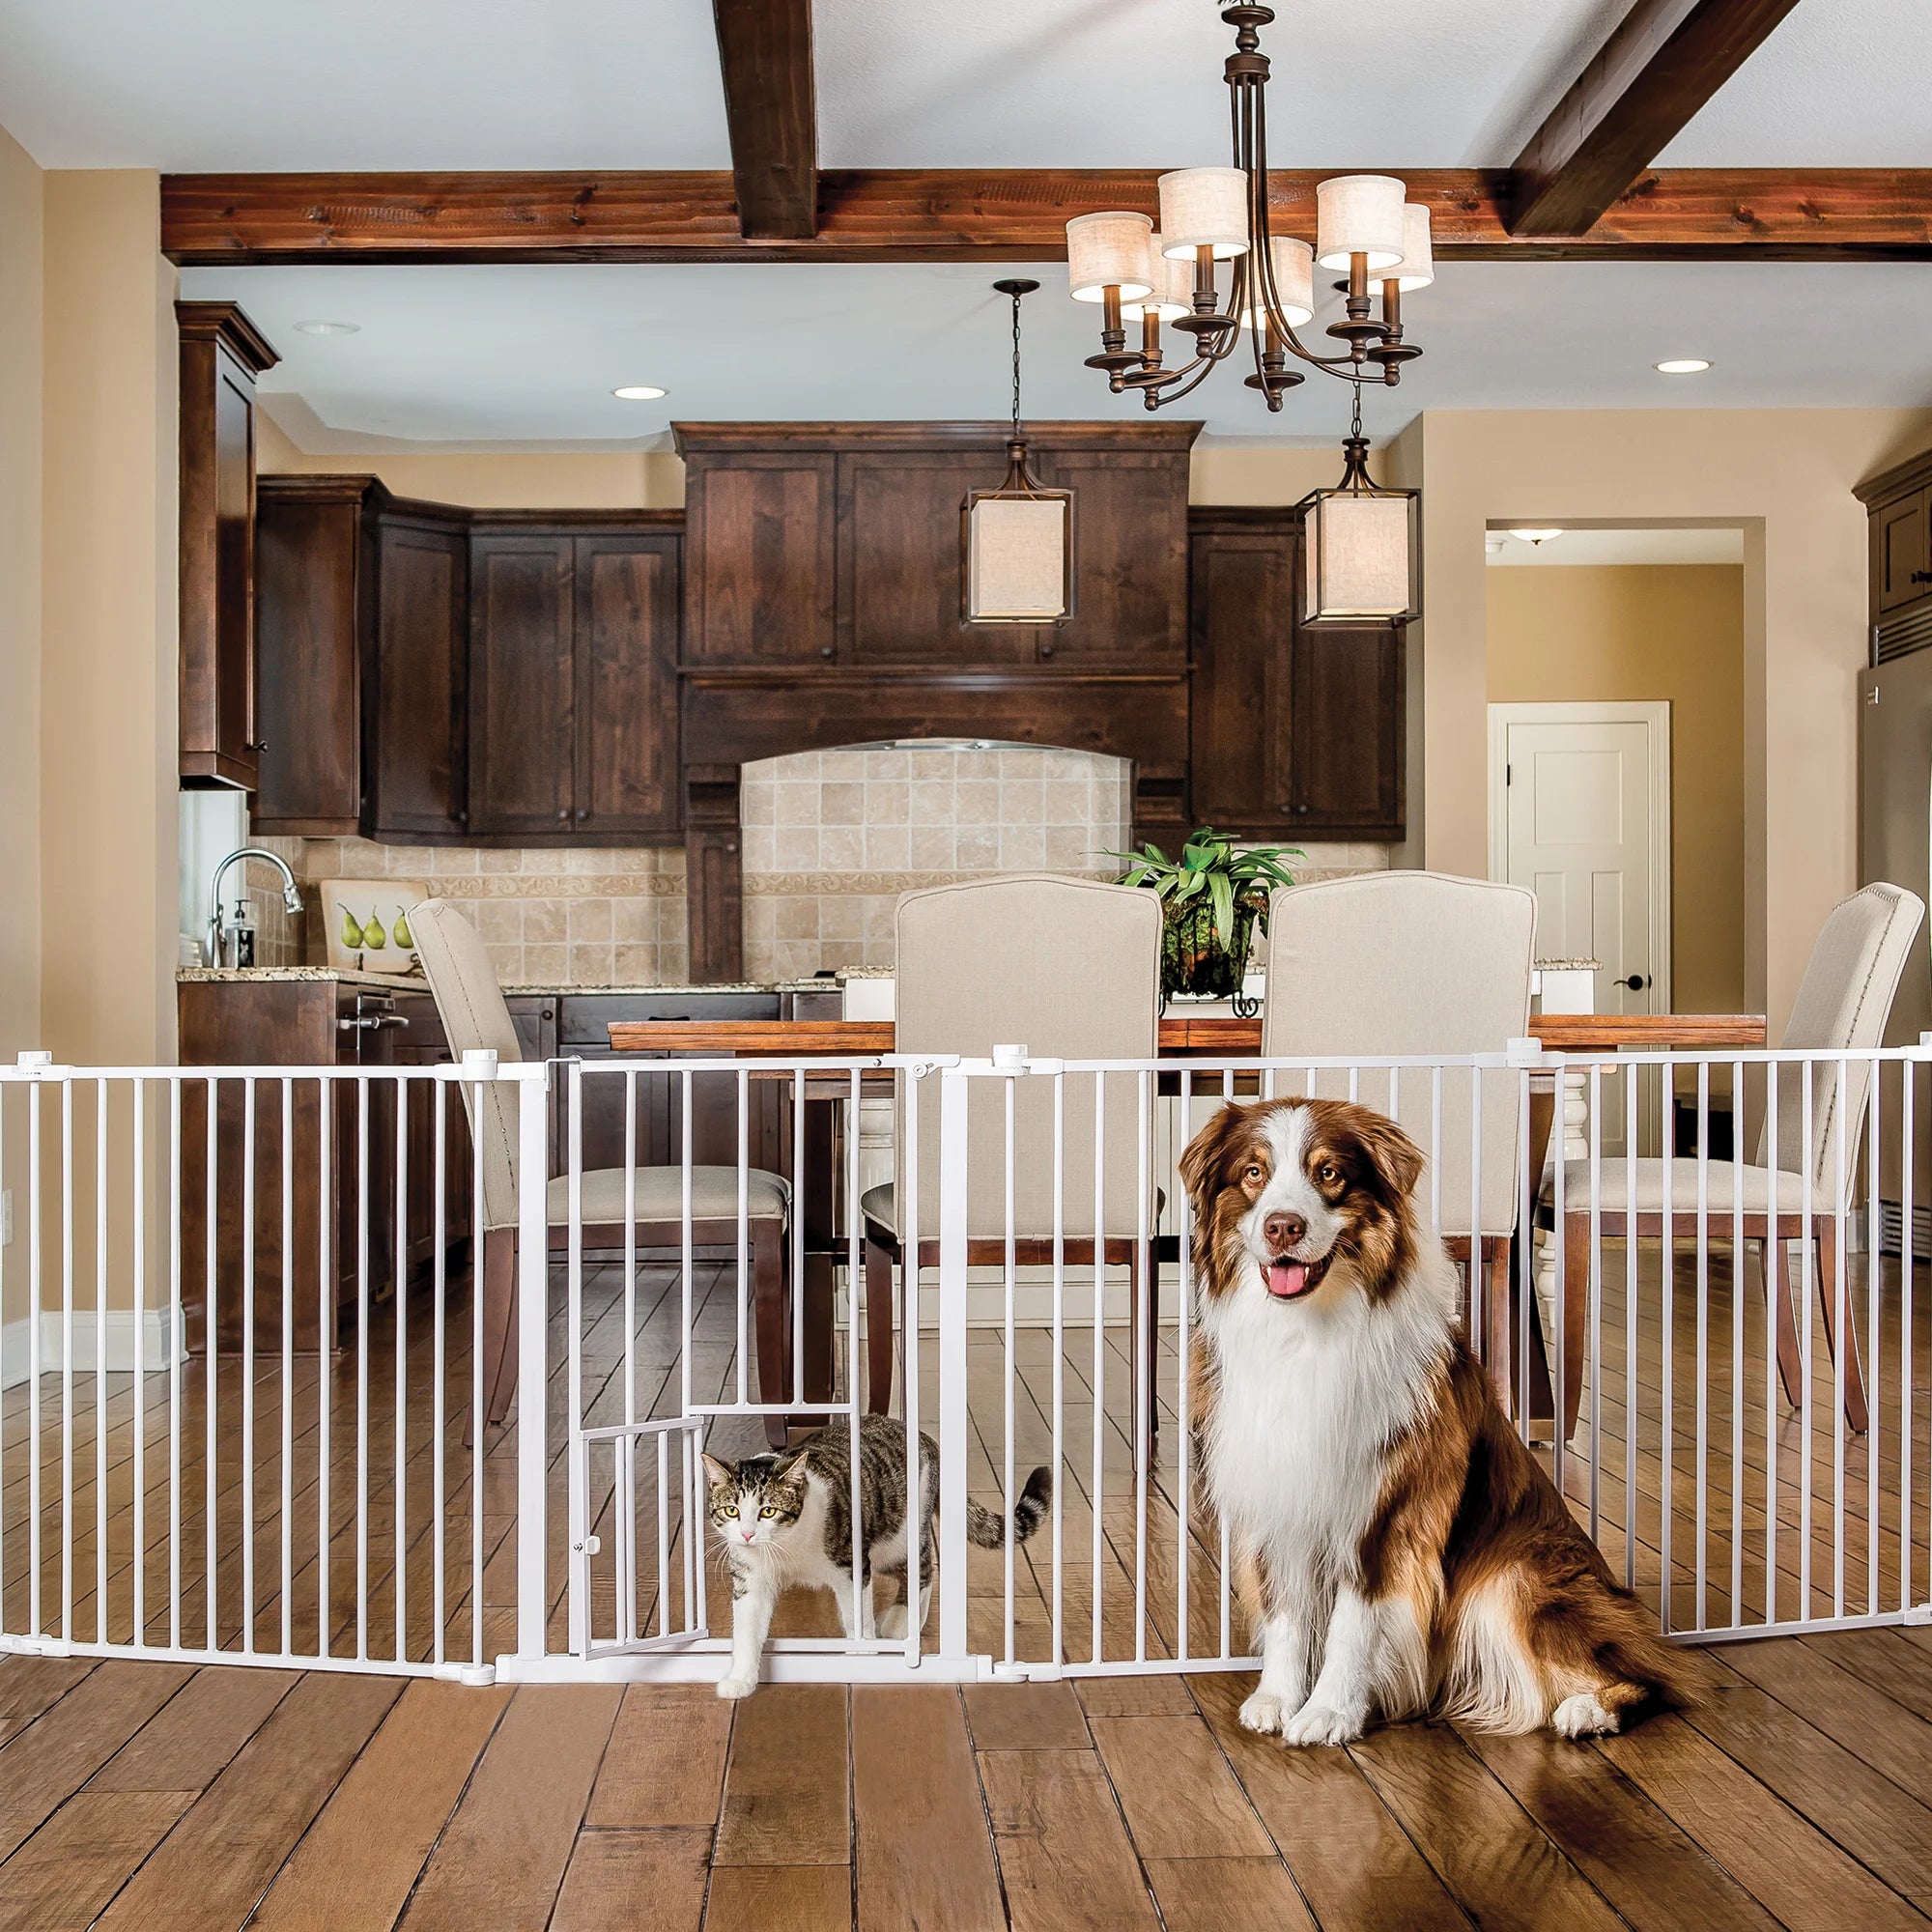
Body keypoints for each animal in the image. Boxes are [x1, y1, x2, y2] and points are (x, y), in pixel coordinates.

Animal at [703, 1414, 1051, 1700]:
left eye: (768, 1511)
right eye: (731, 1510)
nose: (747, 1534)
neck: (785, 1547)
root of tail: (924, 1437)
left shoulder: (852, 1564)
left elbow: (857, 1615)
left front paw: (862, 1656)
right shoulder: (750, 1577)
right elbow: (747, 1628)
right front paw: (740, 1678)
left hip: (893, 1539)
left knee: (924, 1566)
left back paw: (901, 1619)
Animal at [1175, 1097, 1692, 1747]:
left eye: (1328, 1173)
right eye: (1253, 1173)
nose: (1282, 1227)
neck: (1304, 1333)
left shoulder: (1386, 1511)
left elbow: (1353, 1623)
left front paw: (1329, 1712)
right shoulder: (1280, 1494)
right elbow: (1287, 1613)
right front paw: (1277, 1697)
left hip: (1519, 1575)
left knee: (1650, 1677)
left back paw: (1587, 1710)